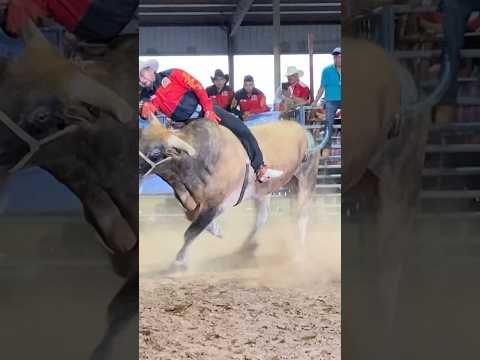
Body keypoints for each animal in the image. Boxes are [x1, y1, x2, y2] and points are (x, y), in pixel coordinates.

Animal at [139, 114, 324, 272]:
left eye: (155, 153)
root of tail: (302, 129)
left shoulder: (217, 204)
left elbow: (191, 231)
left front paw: (178, 261)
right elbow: (194, 220)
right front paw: (217, 230)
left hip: (306, 179)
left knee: (301, 215)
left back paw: (298, 254)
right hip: (265, 190)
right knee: (262, 217)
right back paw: (245, 248)